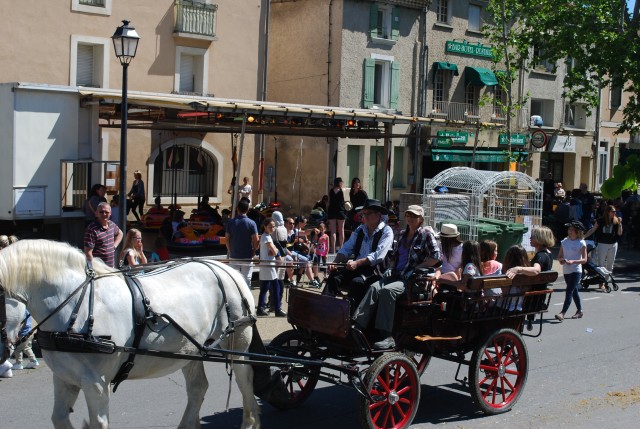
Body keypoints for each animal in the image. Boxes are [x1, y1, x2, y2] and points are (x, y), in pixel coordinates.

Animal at [0, 239, 260, 426]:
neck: (77, 306)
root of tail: (228, 270)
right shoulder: (64, 378)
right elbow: (59, 418)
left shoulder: (96, 383)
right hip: (191, 350)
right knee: (198, 388)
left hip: (238, 344)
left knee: (245, 379)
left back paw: (250, 420)